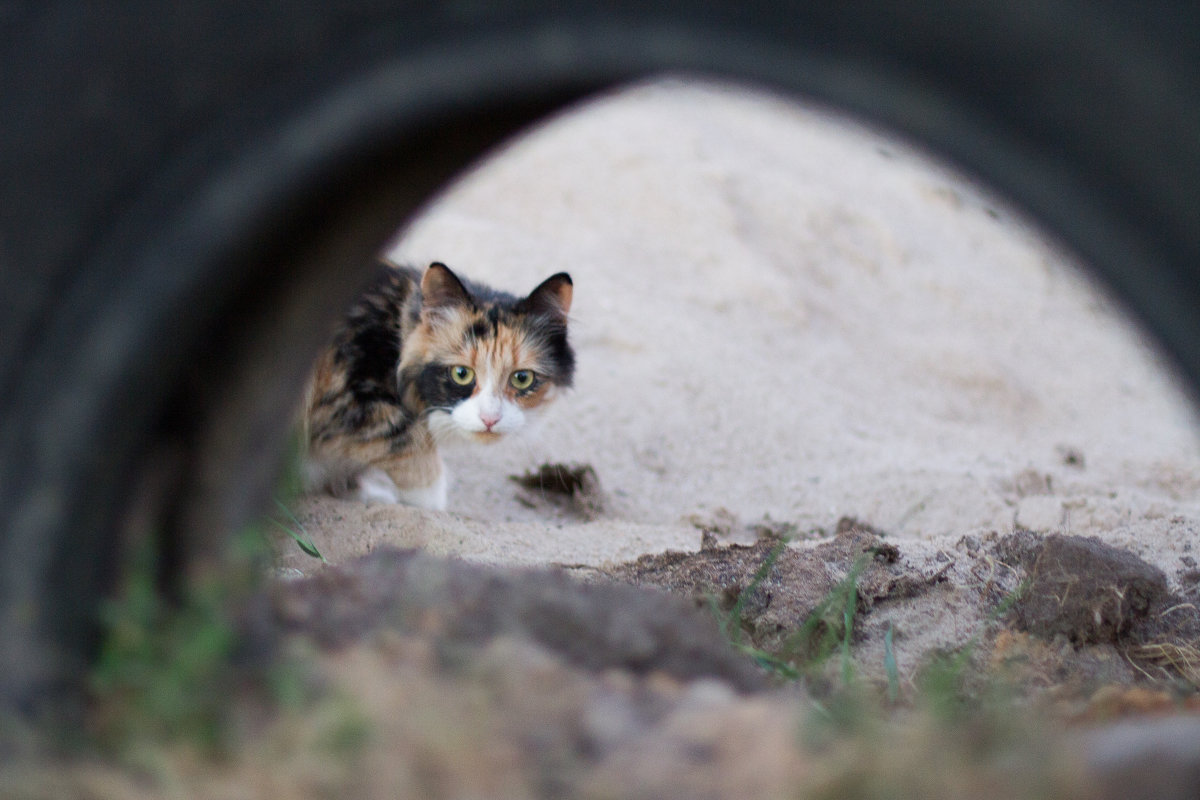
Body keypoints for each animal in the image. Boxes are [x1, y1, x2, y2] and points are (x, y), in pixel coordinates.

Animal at [304, 262, 576, 513]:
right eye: (461, 374)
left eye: (522, 378)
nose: (489, 419)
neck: (394, 334)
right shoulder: (353, 400)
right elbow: (418, 455)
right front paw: (428, 507)